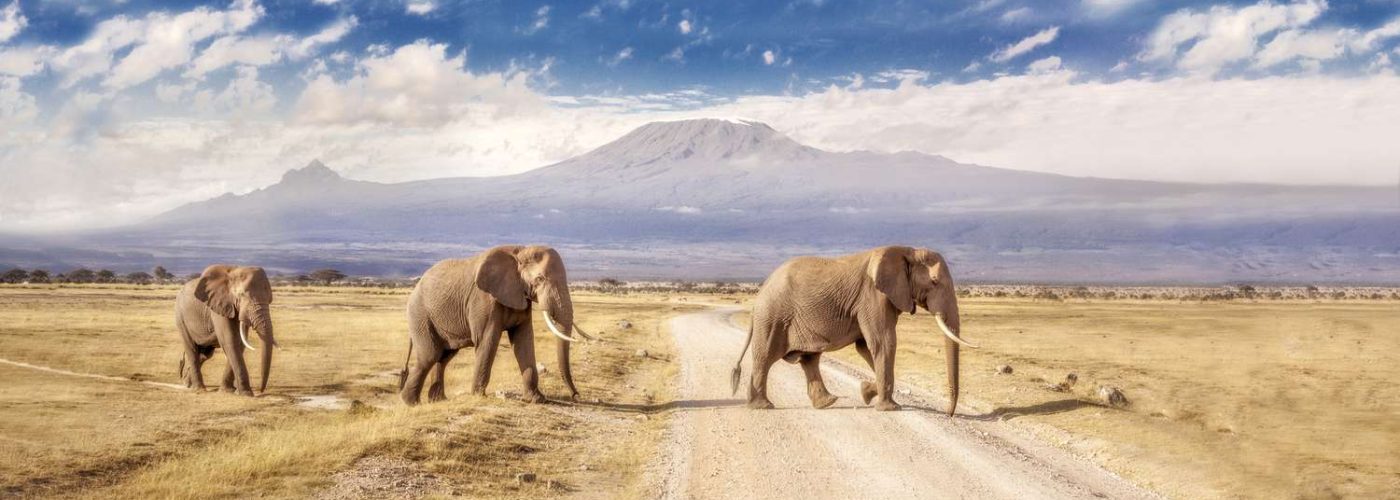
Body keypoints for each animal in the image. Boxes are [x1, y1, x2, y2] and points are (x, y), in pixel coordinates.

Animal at [175, 263, 278, 394]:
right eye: (242, 295)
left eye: (270, 299)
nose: (260, 391)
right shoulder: (218, 306)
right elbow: (230, 341)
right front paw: (246, 393)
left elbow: (240, 343)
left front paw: (229, 390)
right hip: (180, 317)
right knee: (192, 349)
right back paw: (199, 389)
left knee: (205, 354)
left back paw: (187, 383)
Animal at [397, 245, 593, 406]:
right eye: (539, 279)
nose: (576, 395)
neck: (520, 251)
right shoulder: (484, 300)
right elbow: (488, 340)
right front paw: (478, 396)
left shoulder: (520, 296)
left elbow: (524, 341)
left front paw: (537, 399)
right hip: (419, 314)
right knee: (430, 355)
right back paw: (411, 403)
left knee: (443, 356)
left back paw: (437, 401)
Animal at [728, 245, 980, 411]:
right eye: (935, 282)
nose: (950, 414)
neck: (907, 250)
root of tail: (759, 294)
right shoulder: (873, 296)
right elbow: (884, 343)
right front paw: (890, 408)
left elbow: (867, 347)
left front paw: (867, 392)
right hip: (772, 318)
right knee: (766, 357)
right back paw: (762, 406)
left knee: (809, 359)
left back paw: (827, 403)